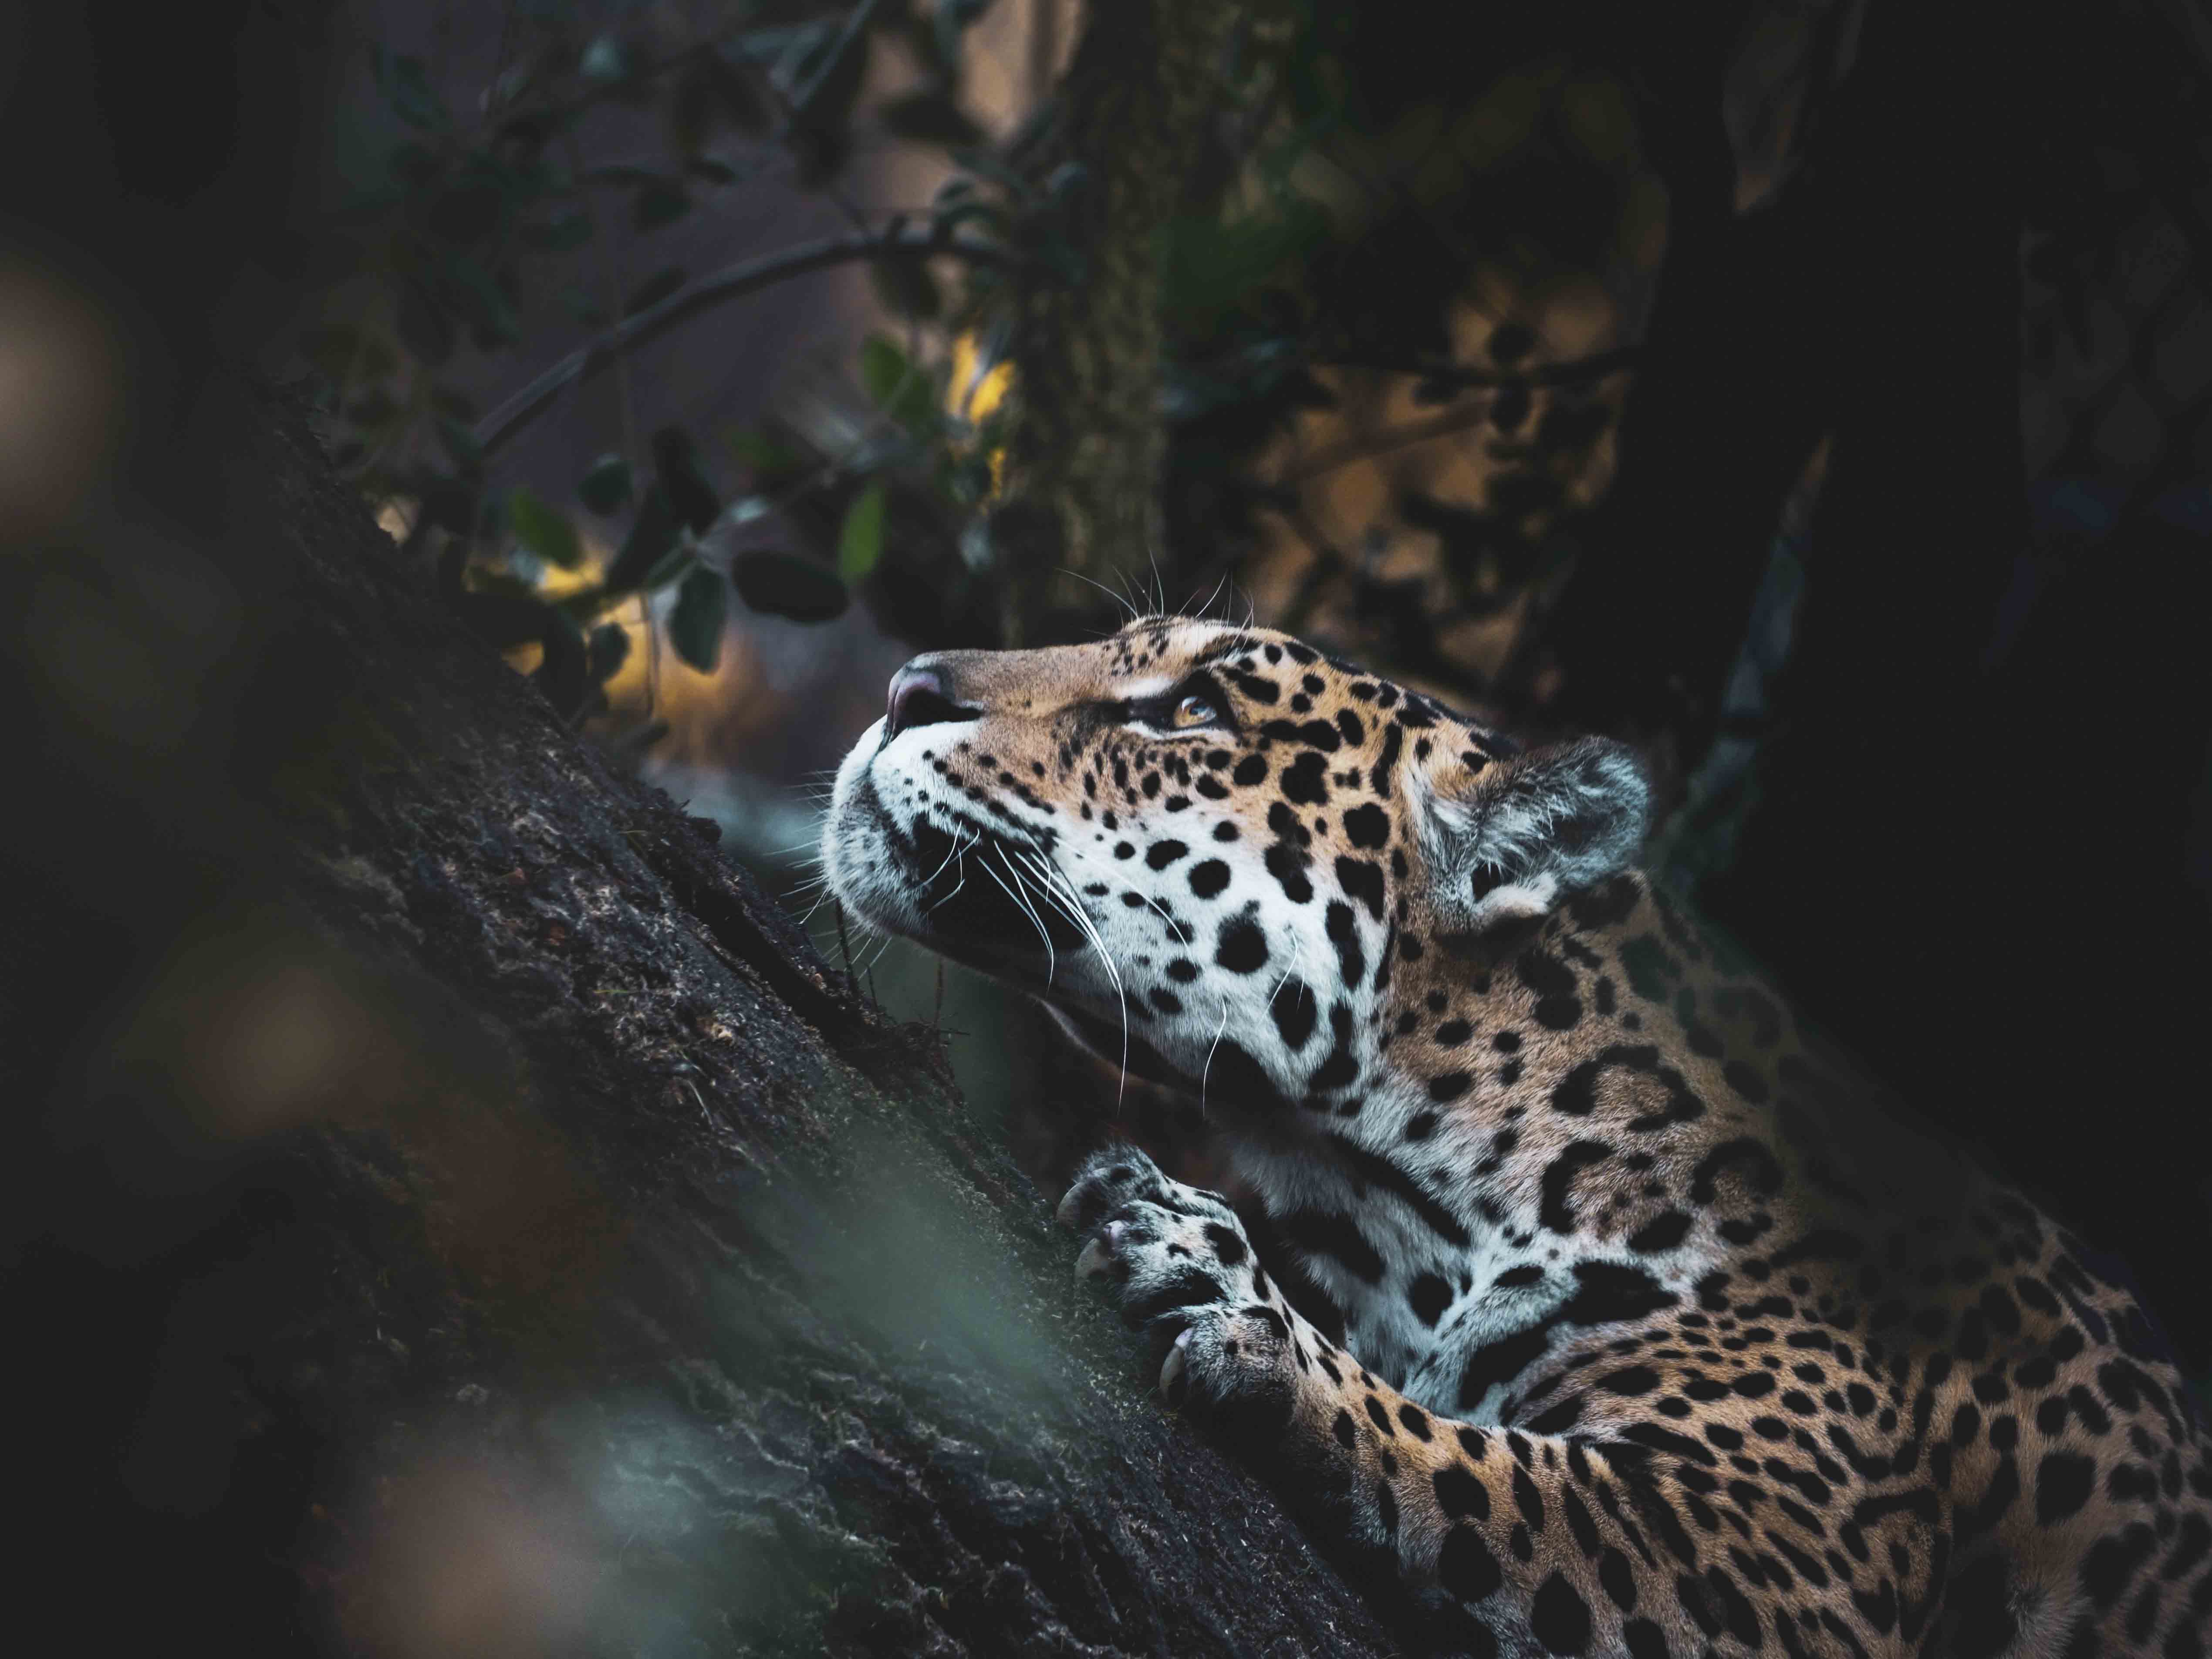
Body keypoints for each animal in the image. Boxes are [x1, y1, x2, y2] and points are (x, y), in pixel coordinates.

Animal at [821, 615, 2211, 1659]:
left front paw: (1221, 1284)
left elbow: (1494, 1477)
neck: (1401, 1192)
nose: (904, 687)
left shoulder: (1793, 1557)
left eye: (1193, 712)